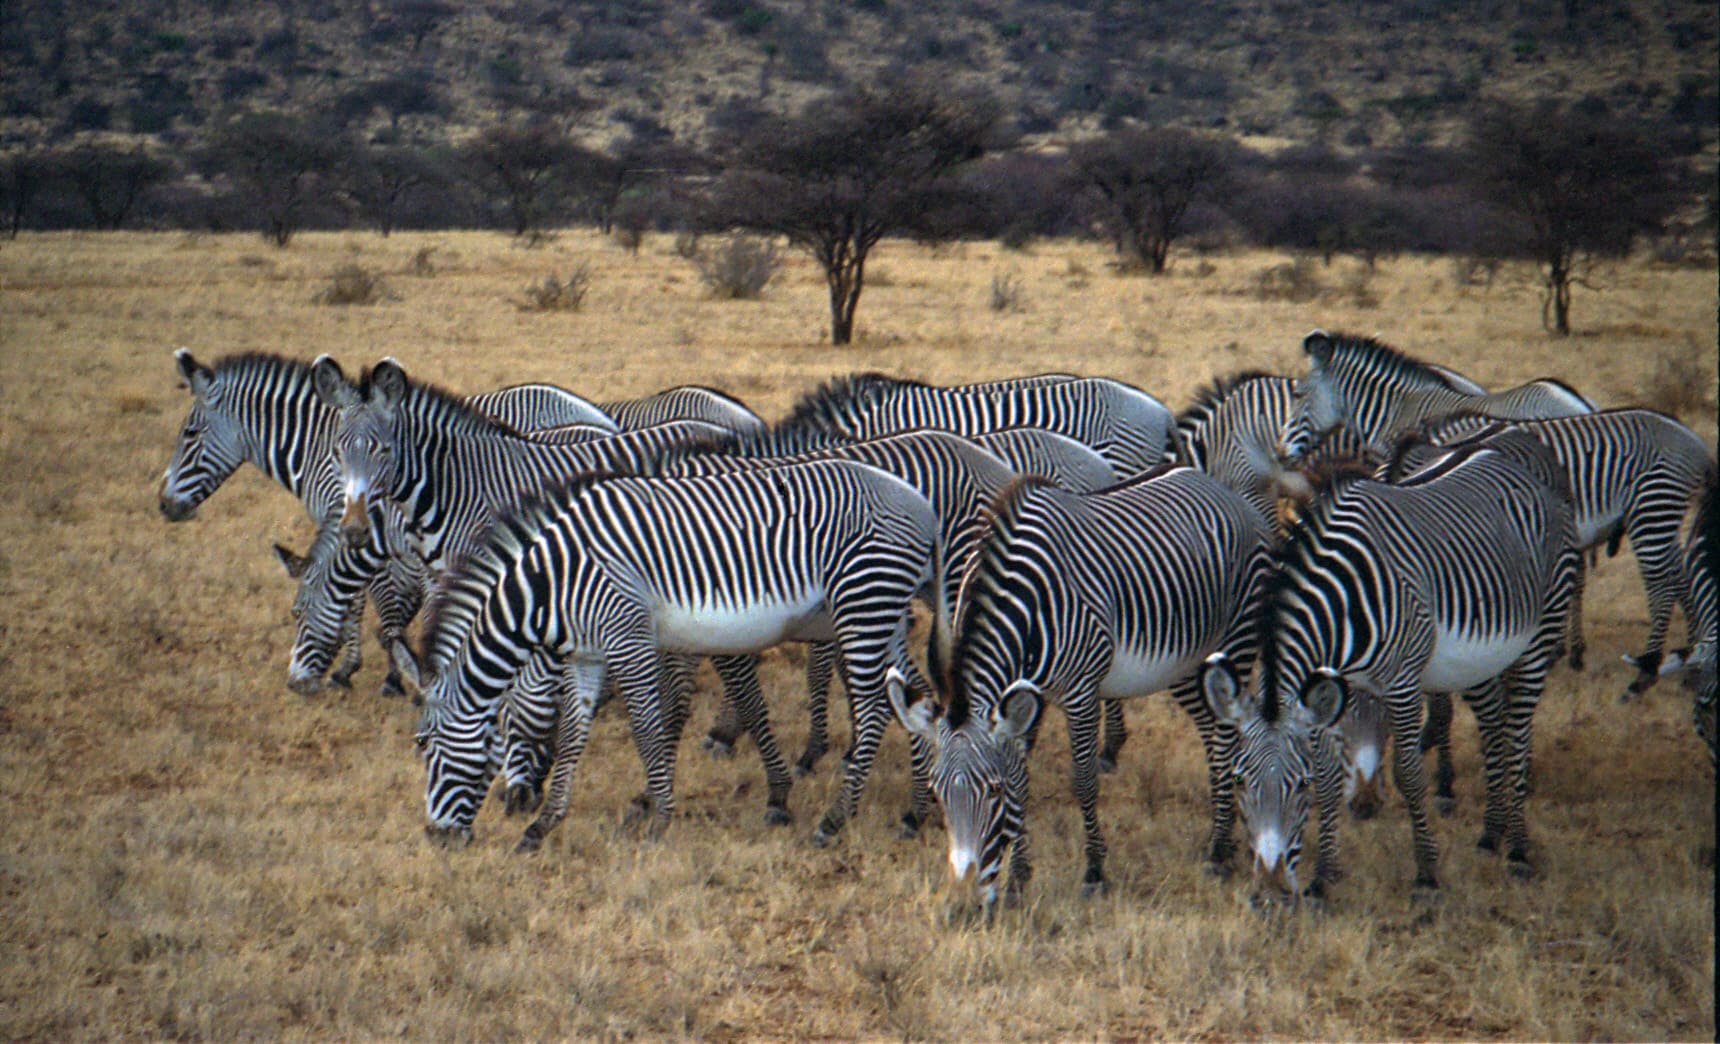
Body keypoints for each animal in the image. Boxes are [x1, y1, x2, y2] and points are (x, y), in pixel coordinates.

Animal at [399, 464, 942, 849]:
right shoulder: (586, 655)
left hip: (863, 603)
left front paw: (659, 821)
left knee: (873, 709)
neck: (550, 585)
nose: (435, 839)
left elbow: (647, 728)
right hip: (882, 614)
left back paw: (834, 820)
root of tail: (920, 501)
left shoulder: (629, 638)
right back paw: (915, 812)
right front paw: (542, 827)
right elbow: (574, 737)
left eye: (424, 744)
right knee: (912, 695)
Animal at [887, 467, 1279, 915]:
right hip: (1186, 659)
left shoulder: (1081, 693)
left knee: (1227, 738)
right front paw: (1018, 877)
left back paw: (1219, 850)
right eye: (936, 792)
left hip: (1238, 637)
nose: (963, 903)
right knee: (1213, 737)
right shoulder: (1025, 698)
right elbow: (1022, 778)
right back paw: (1218, 838)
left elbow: (1083, 781)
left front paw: (1094, 872)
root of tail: (1223, 489)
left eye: (992, 790)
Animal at [1197, 428, 1582, 901]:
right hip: (1479, 659)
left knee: (1518, 736)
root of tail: (1507, 459)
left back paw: (1518, 851)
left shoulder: (1400, 685)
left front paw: (1427, 874)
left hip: (1540, 632)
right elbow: (1332, 776)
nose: (1268, 891)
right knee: (1494, 726)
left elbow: (1408, 774)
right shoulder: (1329, 693)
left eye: (1299, 785)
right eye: (1238, 781)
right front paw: (1323, 879)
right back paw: (1492, 834)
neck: (1342, 608)